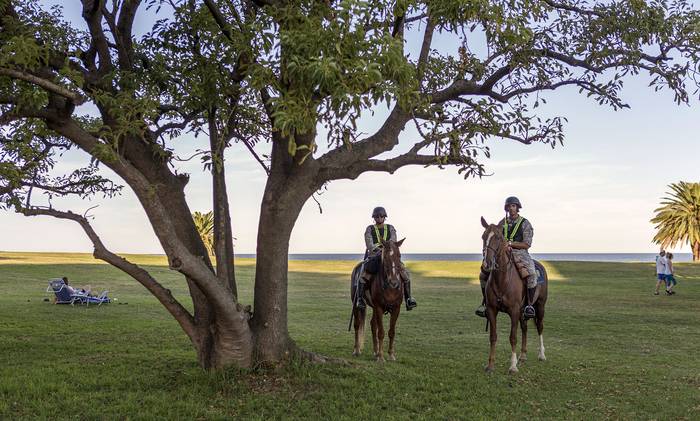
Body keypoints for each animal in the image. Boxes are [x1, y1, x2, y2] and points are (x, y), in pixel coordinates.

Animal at [478, 217, 548, 374]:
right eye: (483, 237)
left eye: (498, 237)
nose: (487, 264)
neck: (502, 280)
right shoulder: (492, 310)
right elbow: (493, 337)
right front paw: (490, 365)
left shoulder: (514, 311)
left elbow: (513, 337)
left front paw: (513, 366)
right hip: (523, 311)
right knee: (525, 328)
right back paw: (522, 356)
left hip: (540, 306)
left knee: (540, 327)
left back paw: (541, 354)